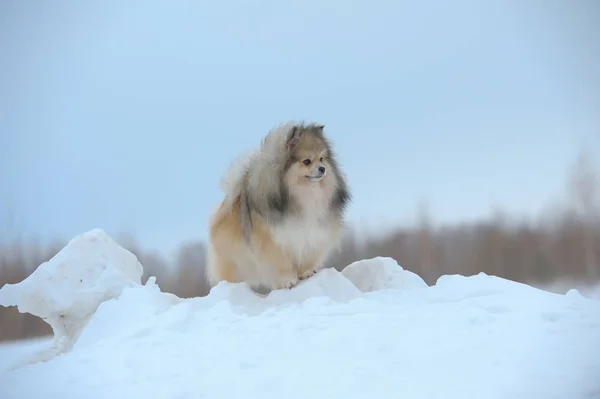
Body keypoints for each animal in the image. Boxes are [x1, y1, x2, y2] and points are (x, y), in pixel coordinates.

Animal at [205, 120, 350, 292]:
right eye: (307, 161)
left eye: (322, 159)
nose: (323, 169)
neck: (304, 195)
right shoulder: (274, 243)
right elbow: (282, 266)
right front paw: (288, 281)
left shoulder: (311, 236)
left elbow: (306, 260)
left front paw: (306, 273)